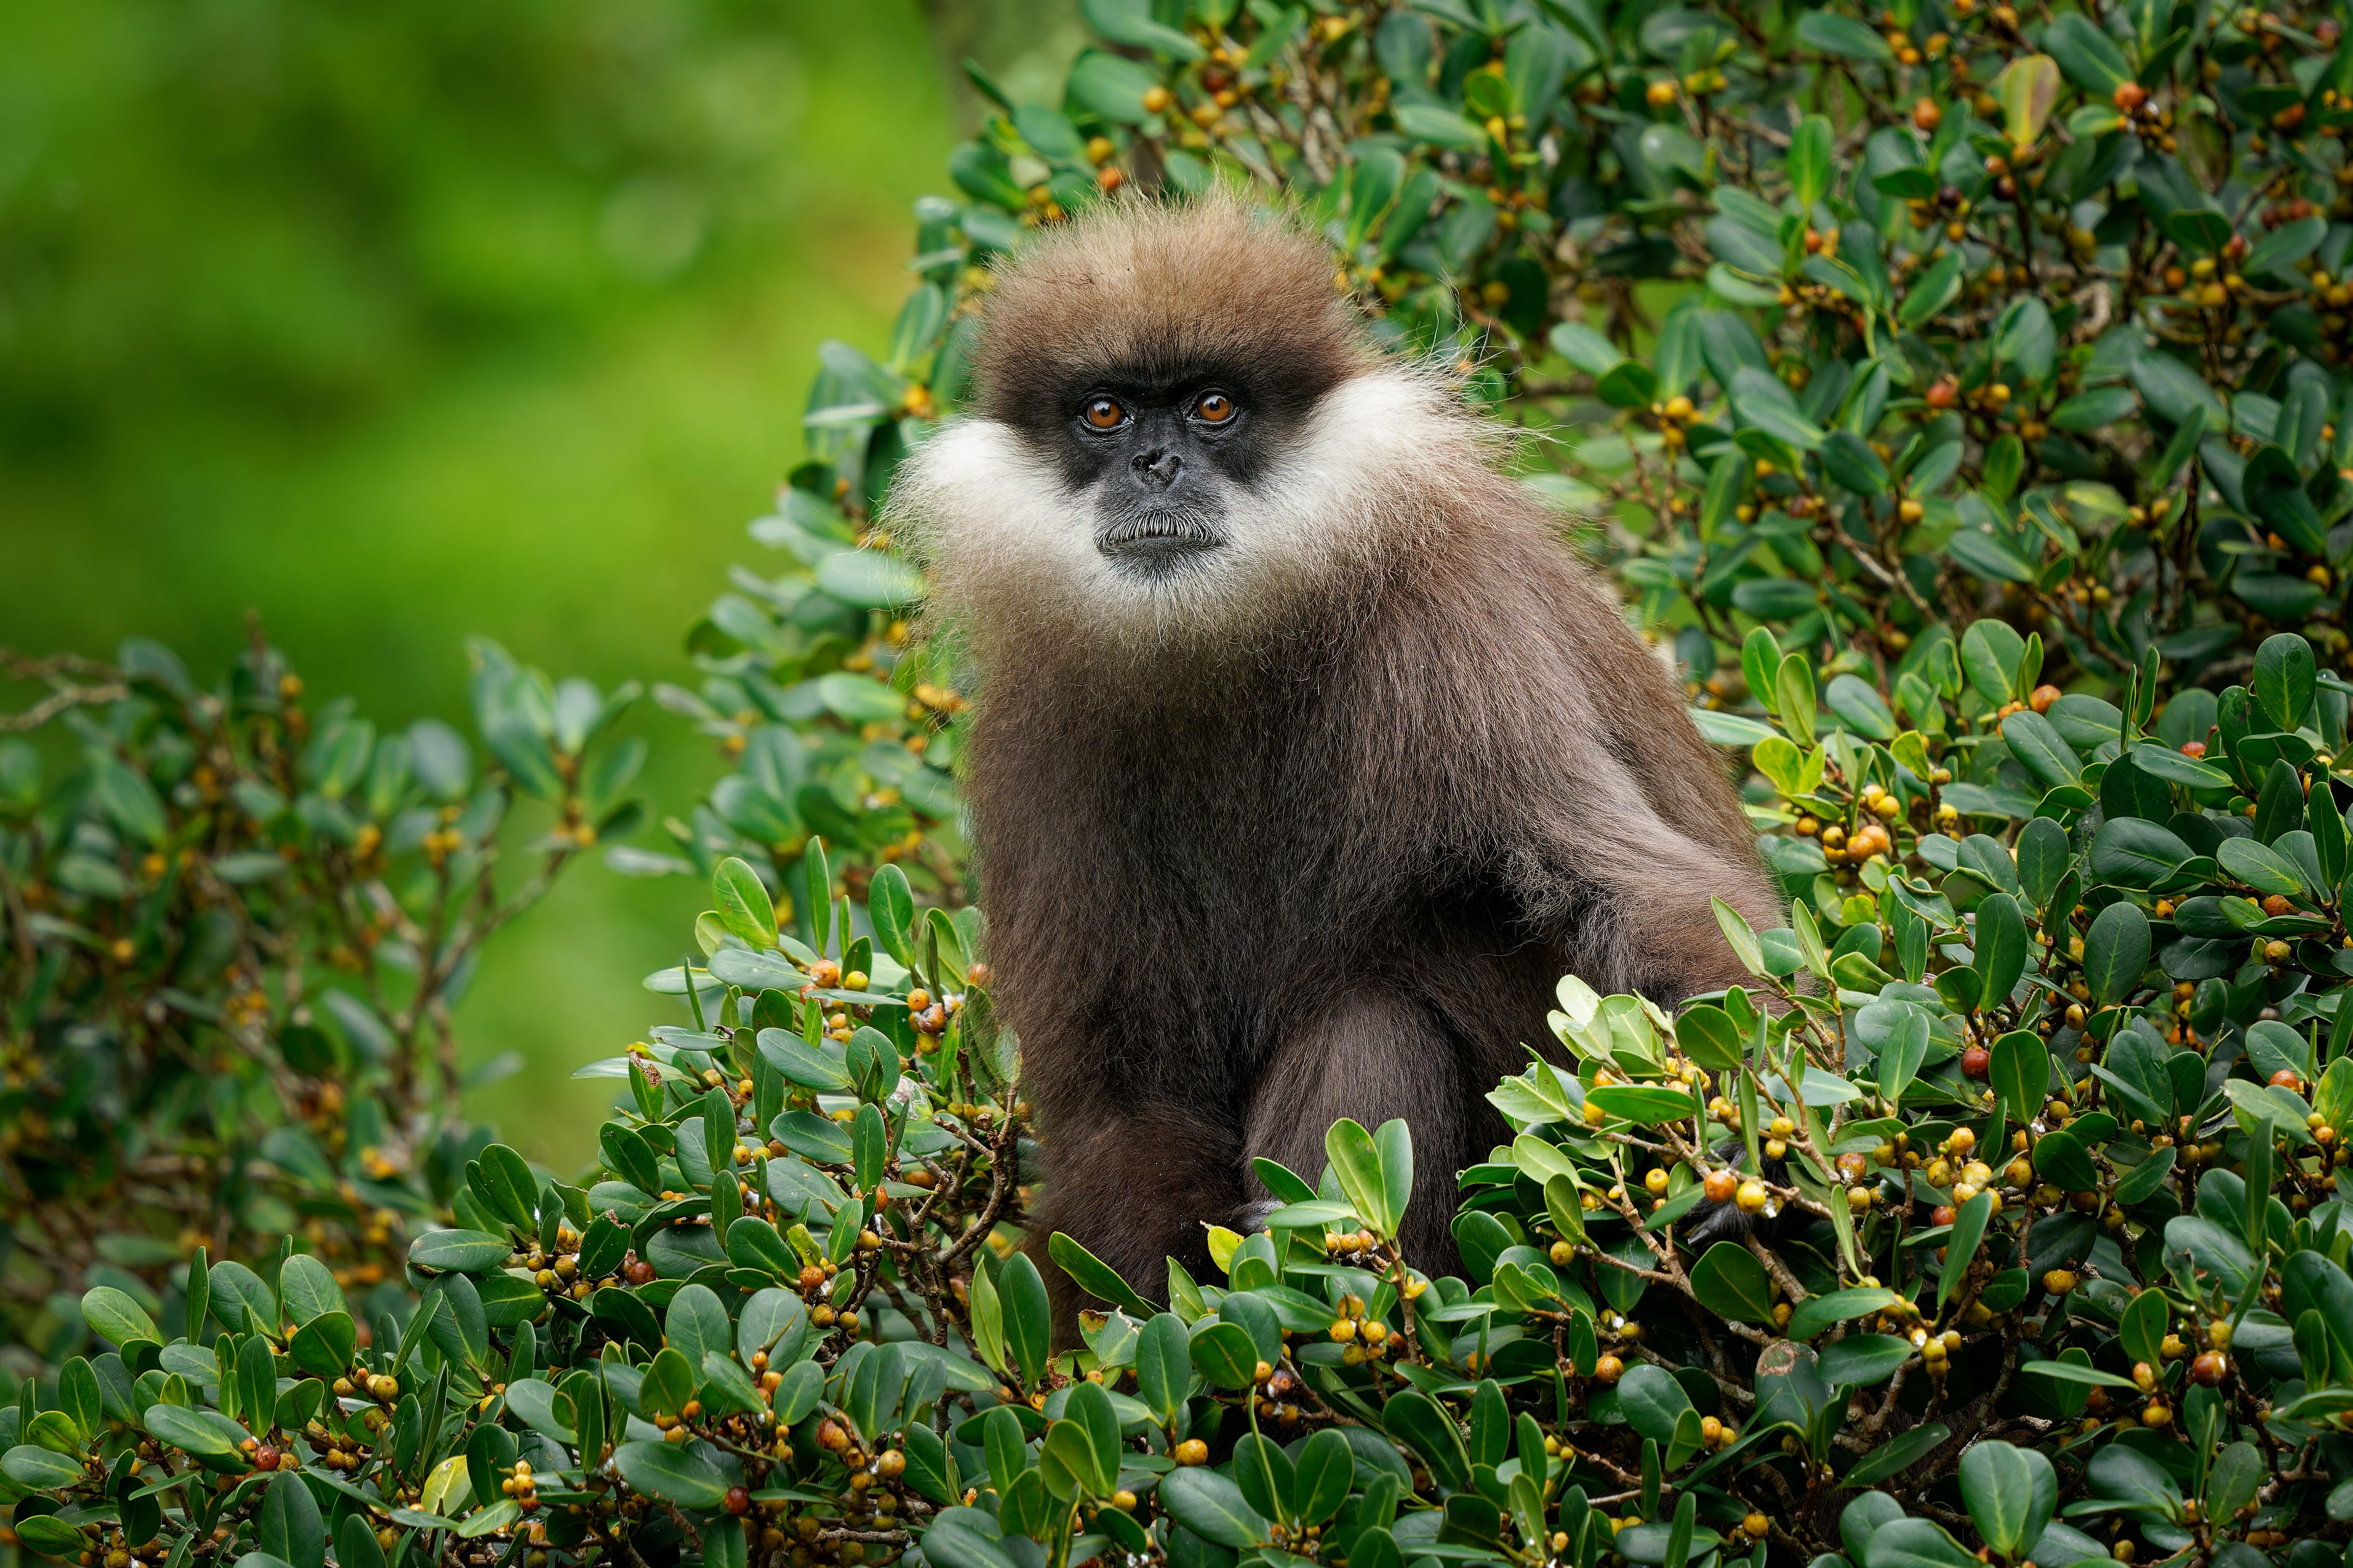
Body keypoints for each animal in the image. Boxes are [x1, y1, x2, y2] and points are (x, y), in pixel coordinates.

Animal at [889, 194, 1781, 1302]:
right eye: (1104, 414)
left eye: (1212, 407)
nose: (1154, 465)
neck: (1228, 643)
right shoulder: (1037, 726)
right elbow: (1124, 1102)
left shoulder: (1452, 628)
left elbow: (1627, 884)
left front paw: (1738, 1111)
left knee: (1374, 1004)